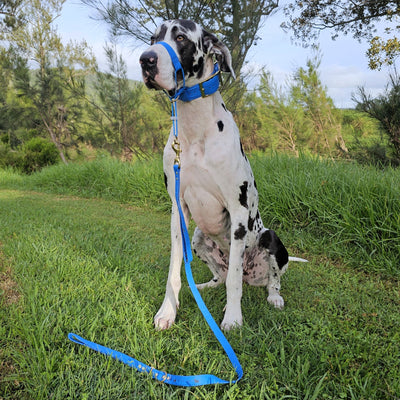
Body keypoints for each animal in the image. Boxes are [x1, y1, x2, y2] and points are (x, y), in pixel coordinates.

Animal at [139, 19, 304, 332]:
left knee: (265, 278)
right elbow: (174, 271)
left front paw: (233, 318)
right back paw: (206, 286)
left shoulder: (238, 212)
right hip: (198, 238)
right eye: (153, 38)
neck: (194, 130)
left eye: (181, 37)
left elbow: (234, 282)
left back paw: (273, 297)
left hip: (271, 239)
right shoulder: (177, 212)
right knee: (223, 276)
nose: (146, 60)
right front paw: (168, 311)